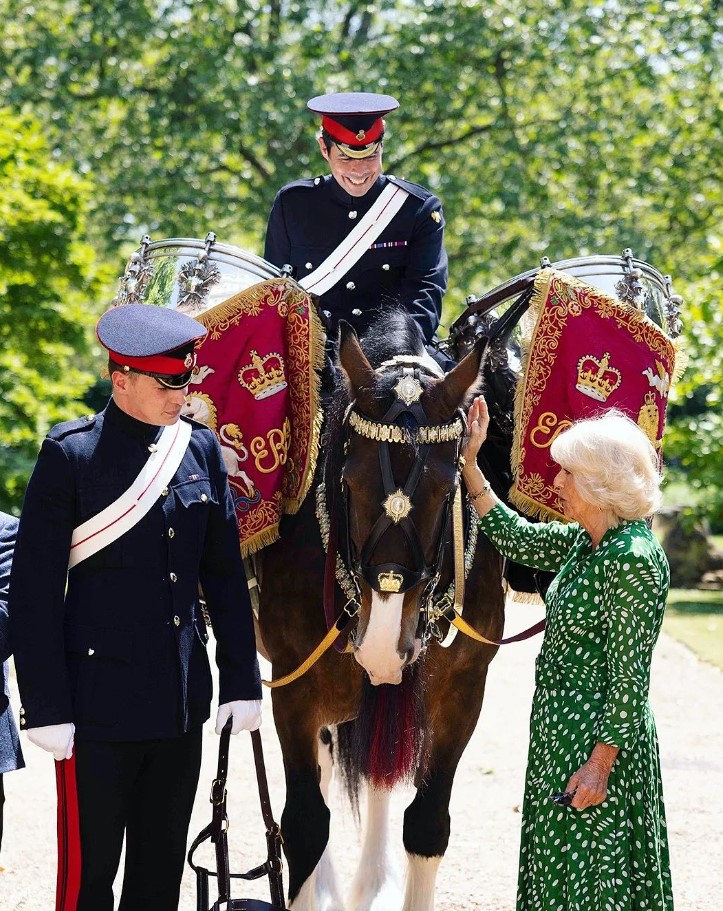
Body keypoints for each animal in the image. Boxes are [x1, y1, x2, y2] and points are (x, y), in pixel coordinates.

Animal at [258, 310, 512, 908]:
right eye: (348, 481)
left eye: (447, 490)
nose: (380, 647)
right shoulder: (293, 685)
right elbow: (305, 823)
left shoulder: (462, 691)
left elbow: (426, 823)